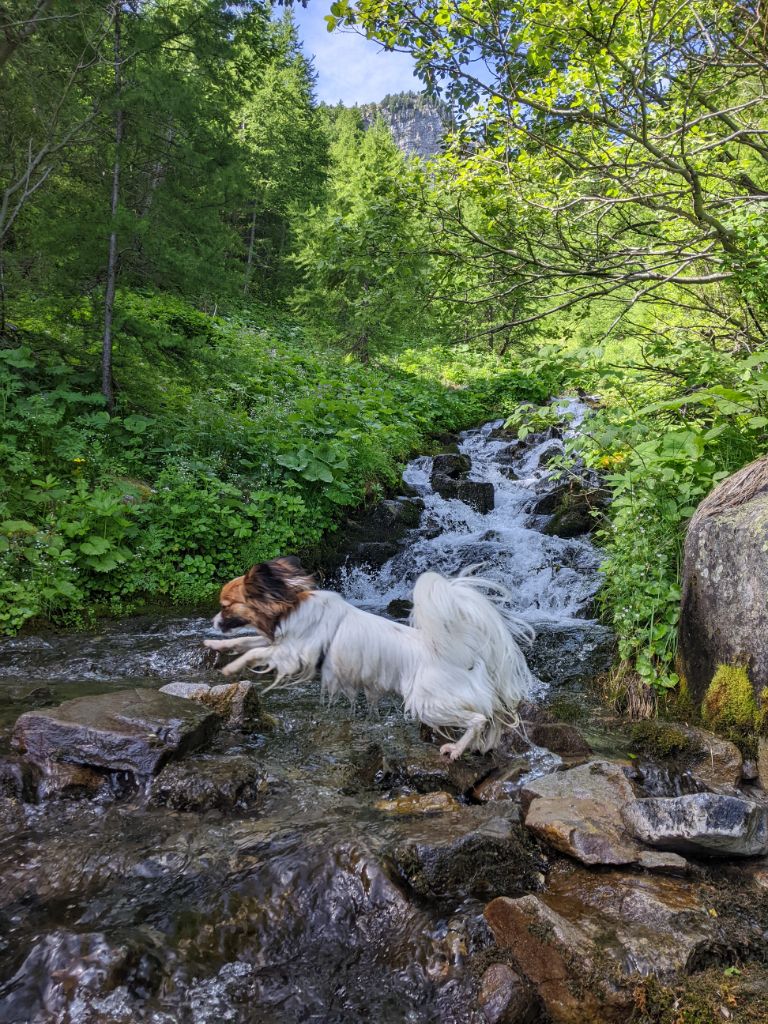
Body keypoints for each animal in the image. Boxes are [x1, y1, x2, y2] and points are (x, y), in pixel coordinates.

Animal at [204, 557, 536, 759]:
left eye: (226, 606)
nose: (213, 622)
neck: (289, 605)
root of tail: (464, 654)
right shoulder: (279, 641)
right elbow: (248, 640)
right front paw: (217, 644)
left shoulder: (292, 653)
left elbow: (256, 651)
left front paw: (232, 667)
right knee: (492, 717)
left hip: (428, 703)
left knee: (478, 718)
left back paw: (456, 749)